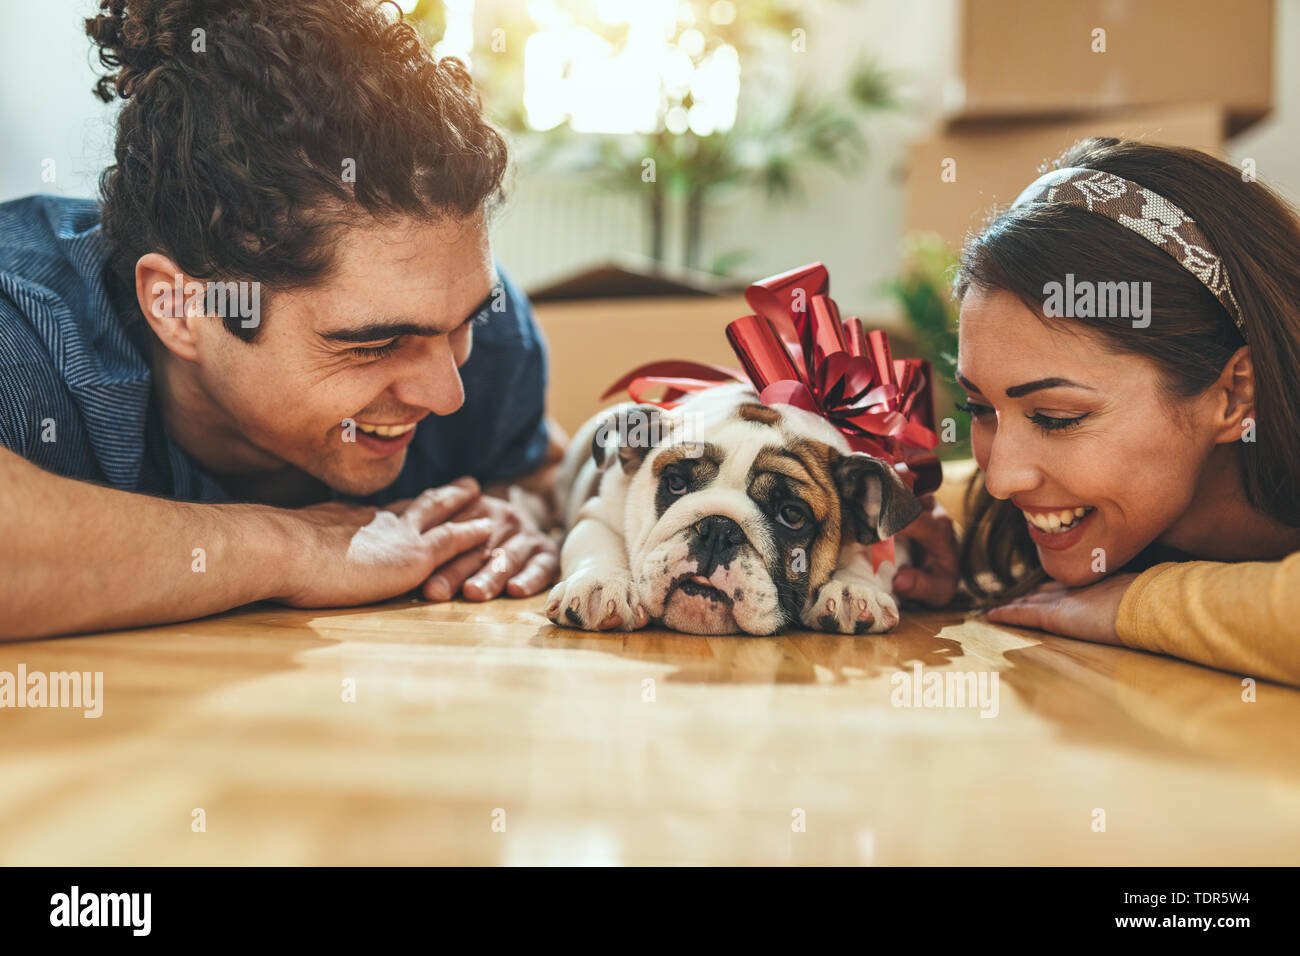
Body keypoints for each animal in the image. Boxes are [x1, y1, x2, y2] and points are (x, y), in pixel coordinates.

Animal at [543, 382, 920, 634]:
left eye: (792, 515)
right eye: (675, 483)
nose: (718, 528)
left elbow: (870, 557)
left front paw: (853, 589)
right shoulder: (598, 513)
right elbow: (596, 543)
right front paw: (600, 584)